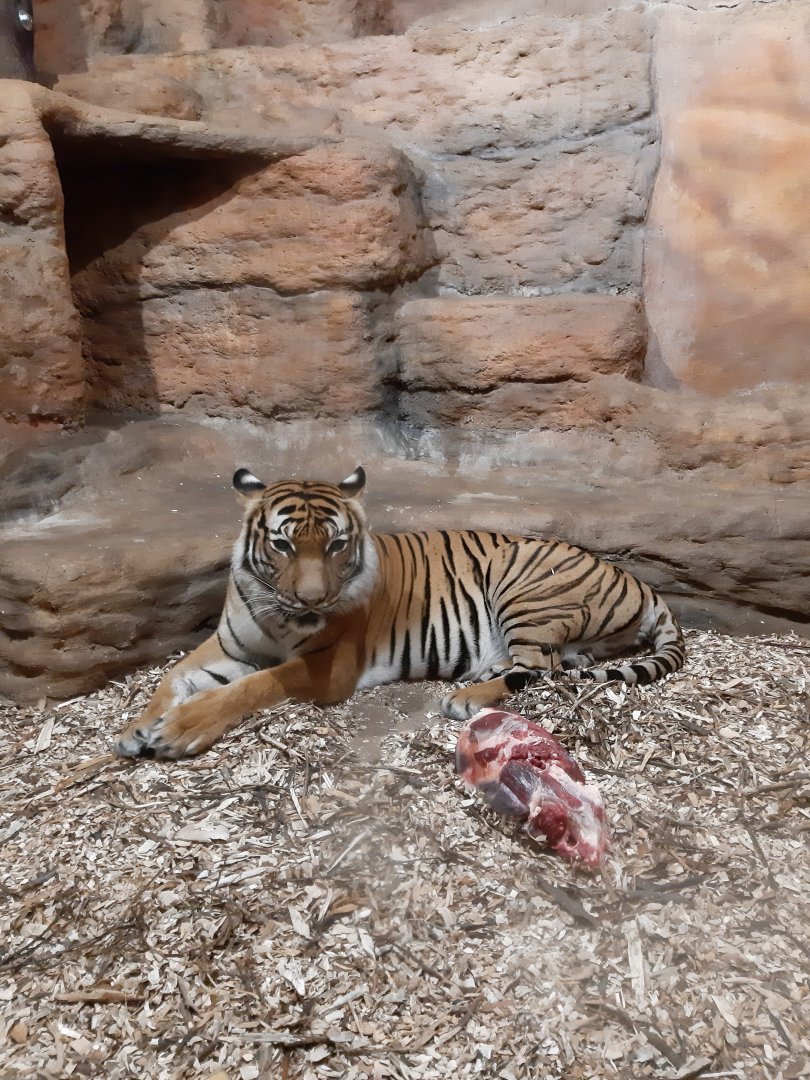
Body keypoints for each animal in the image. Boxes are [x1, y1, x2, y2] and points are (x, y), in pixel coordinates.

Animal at [115, 466, 685, 759]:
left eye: (336, 544)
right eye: (281, 545)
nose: (313, 600)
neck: (278, 615)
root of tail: (638, 581)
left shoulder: (328, 666)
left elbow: (252, 687)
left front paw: (178, 729)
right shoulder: (228, 645)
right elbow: (171, 676)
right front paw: (137, 730)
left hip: (518, 576)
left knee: (539, 669)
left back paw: (466, 697)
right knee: (550, 664)